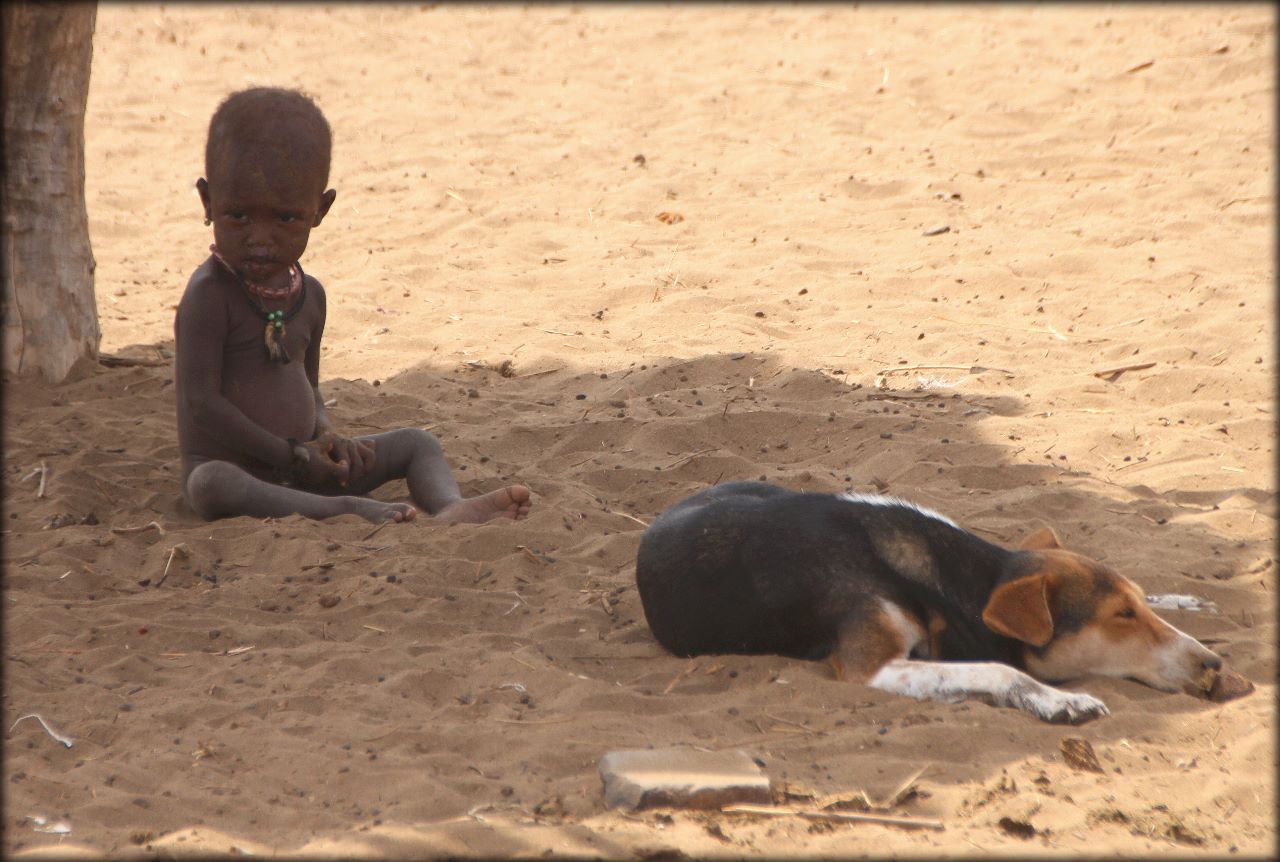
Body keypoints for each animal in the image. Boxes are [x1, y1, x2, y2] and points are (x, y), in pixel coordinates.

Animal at [634, 481, 1223, 722]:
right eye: (1120, 617)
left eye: (1136, 606)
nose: (1214, 663)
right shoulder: (870, 666)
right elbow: (996, 668)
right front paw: (1060, 701)